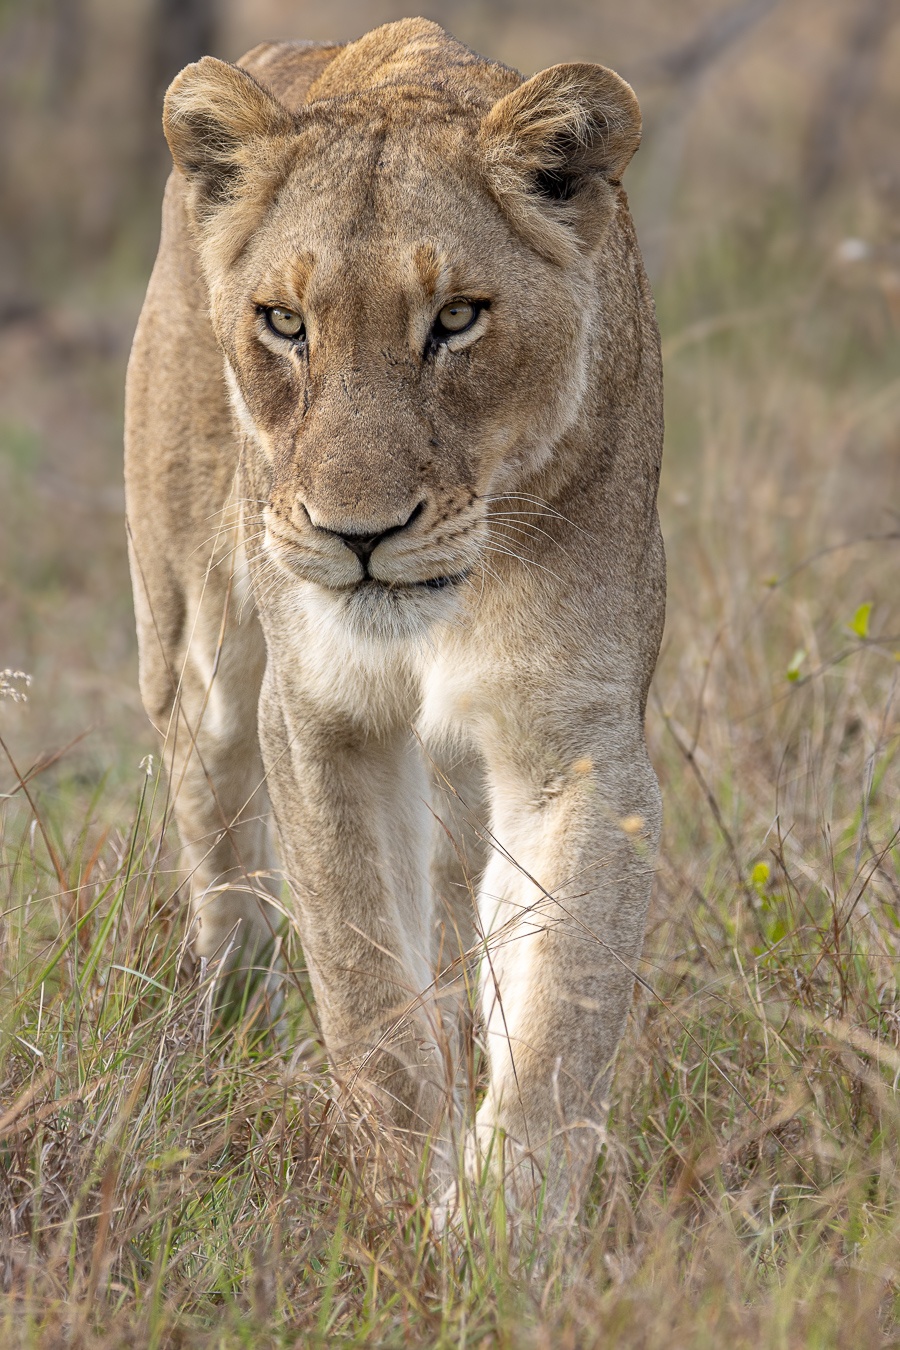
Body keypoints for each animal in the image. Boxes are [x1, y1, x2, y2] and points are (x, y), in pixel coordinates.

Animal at [125, 17, 665, 1228]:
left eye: (455, 319)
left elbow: (559, 998)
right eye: (285, 323)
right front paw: (401, 1202)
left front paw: (507, 1224)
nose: (357, 533)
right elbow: (364, 983)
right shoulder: (320, 717)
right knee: (218, 840)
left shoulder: (578, 733)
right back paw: (231, 1027)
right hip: (193, 636)